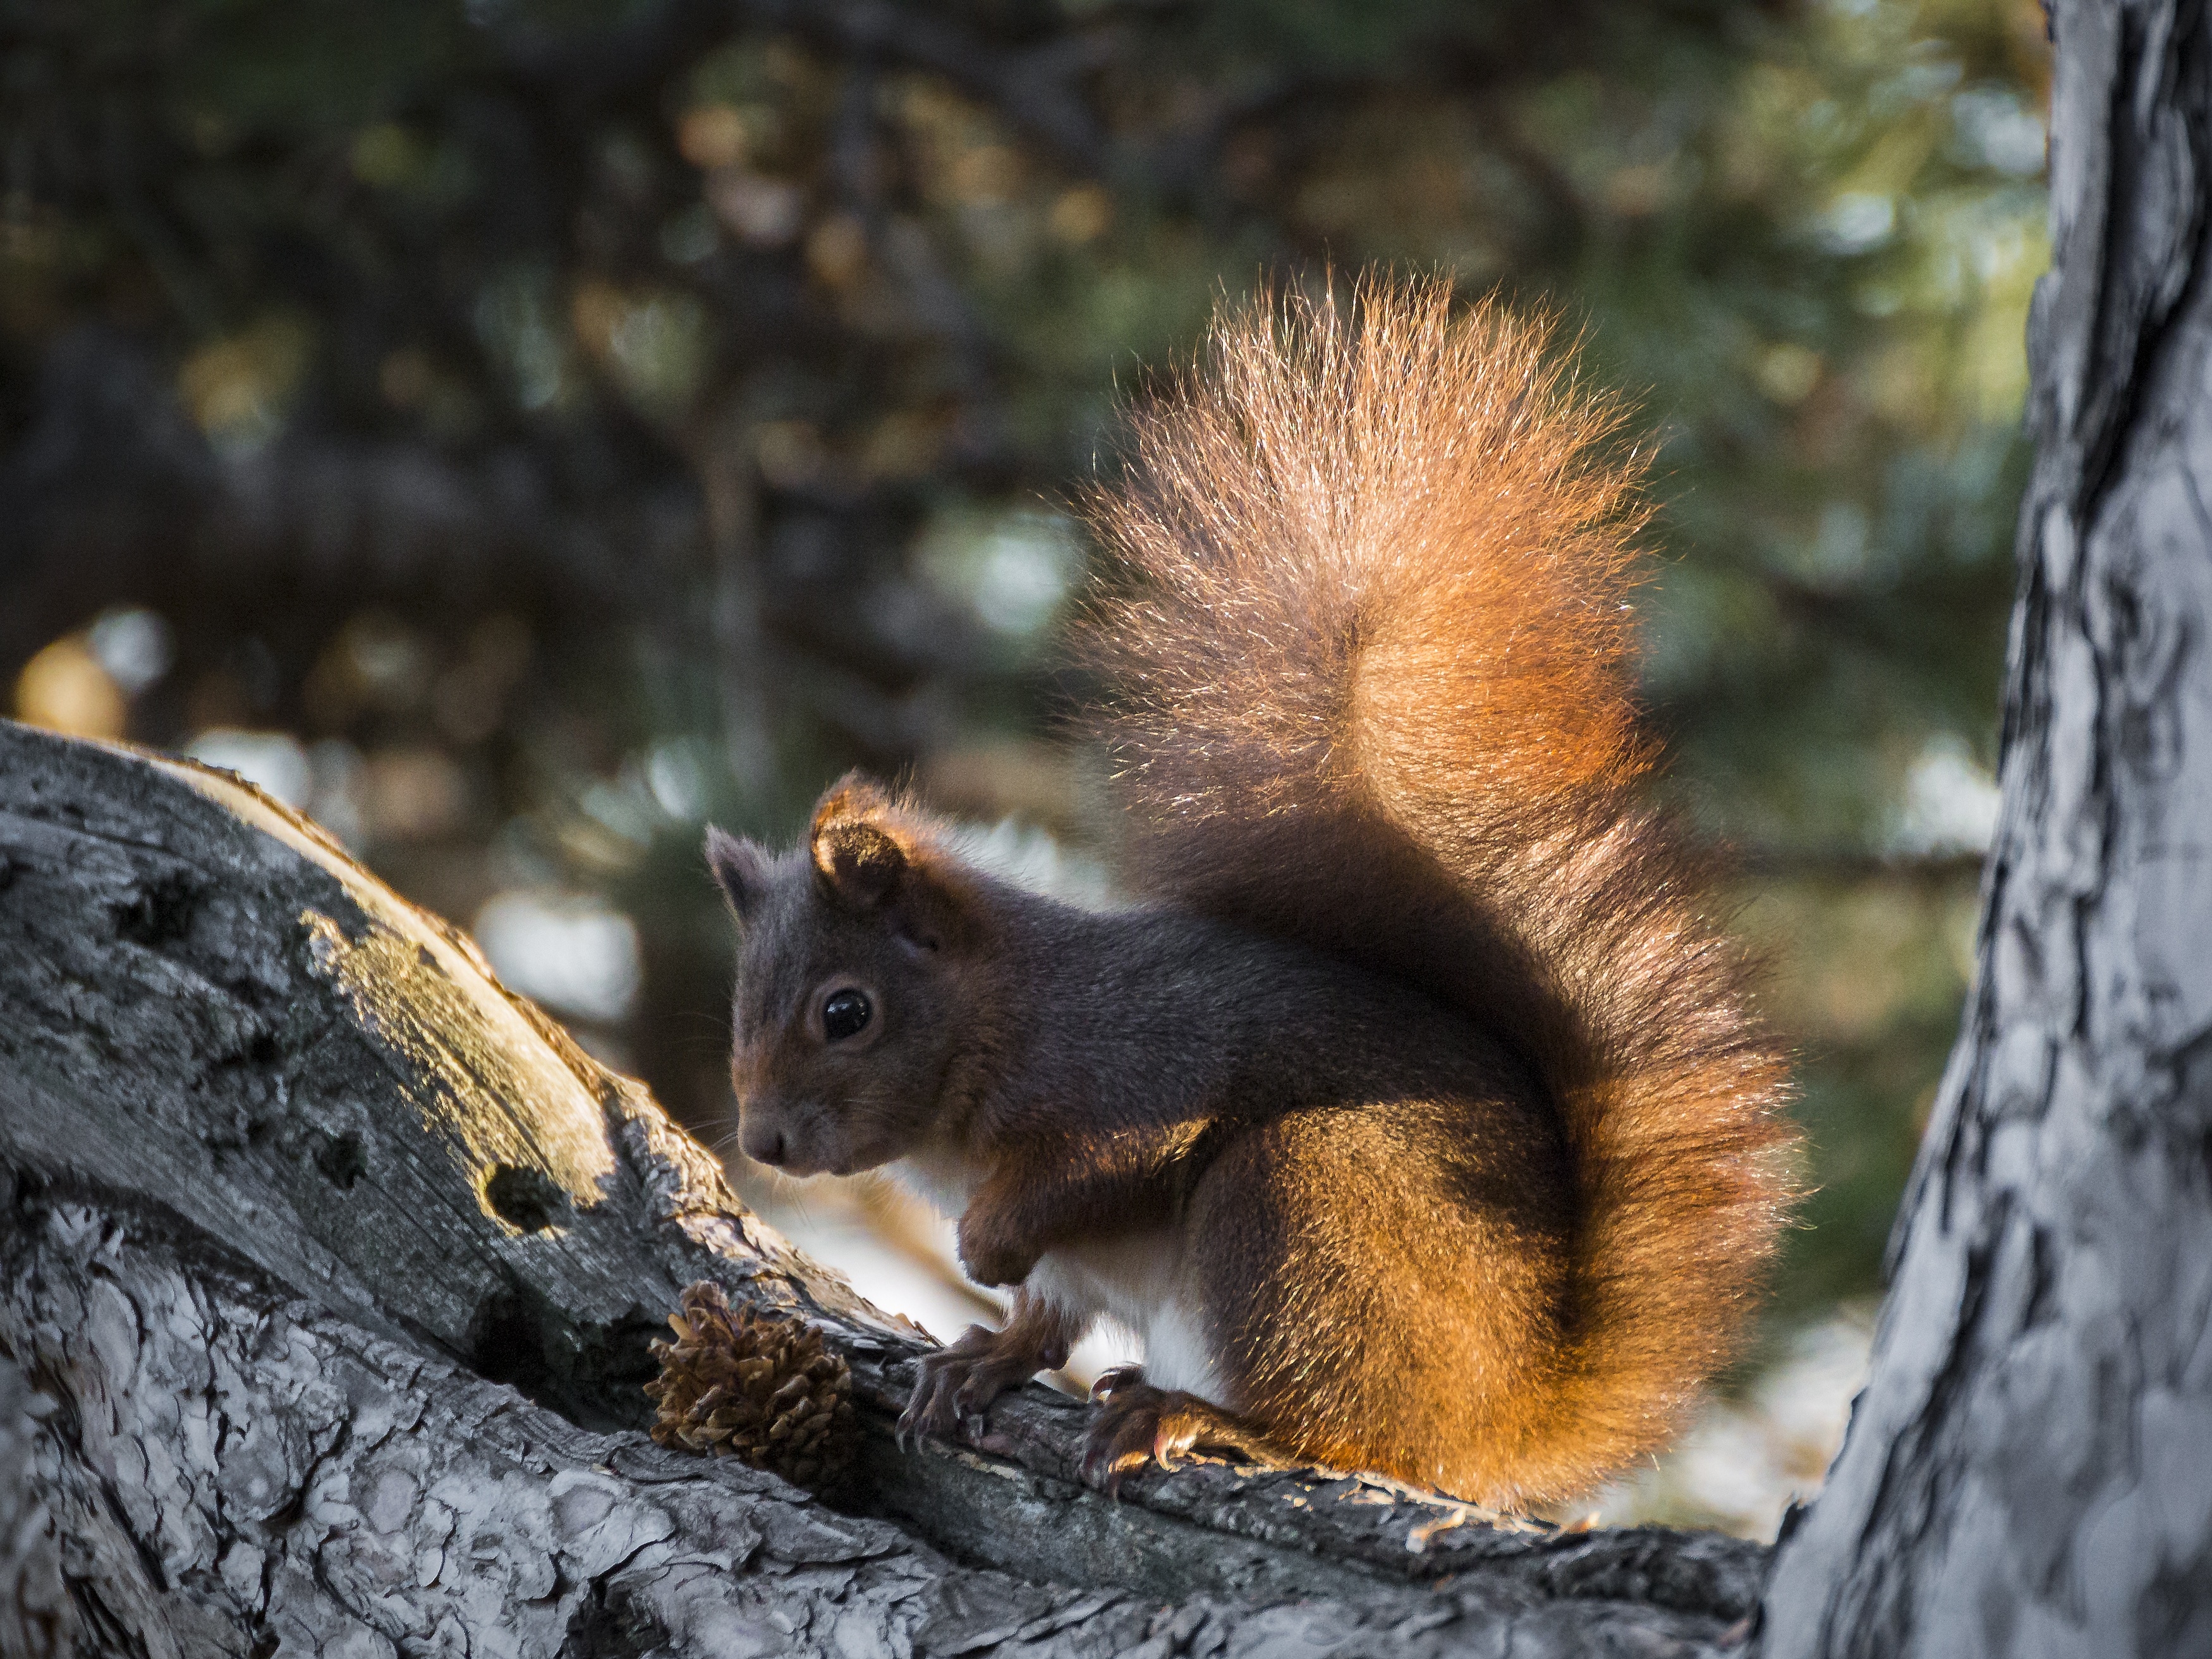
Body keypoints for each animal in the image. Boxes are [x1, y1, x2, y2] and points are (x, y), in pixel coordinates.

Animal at [703, 279, 1796, 1513]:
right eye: (739, 1003)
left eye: (847, 1012)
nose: (766, 1140)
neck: (996, 1024)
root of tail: (1508, 1421)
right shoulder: (1074, 1261)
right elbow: (1046, 1316)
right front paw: (979, 1356)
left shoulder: (1131, 1067)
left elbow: (1094, 1168)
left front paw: (984, 1249)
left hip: (1299, 1205)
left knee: (1347, 1428)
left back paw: (1207, 1418)